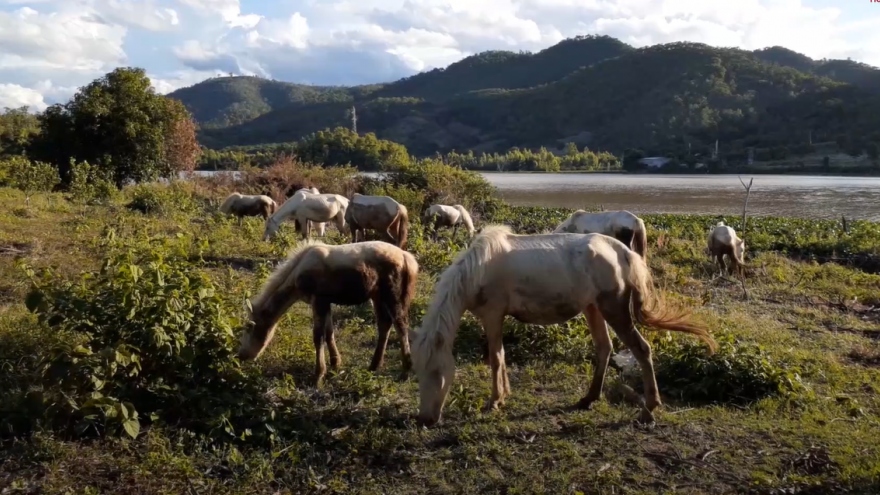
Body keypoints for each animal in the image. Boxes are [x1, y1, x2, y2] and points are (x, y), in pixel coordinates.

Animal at [410, 224, 716, 426]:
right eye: (418, 372)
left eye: (436, 373)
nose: (425, 419)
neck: (476, 270)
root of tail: (623, 252)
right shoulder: (495, 317)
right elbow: (501, 357)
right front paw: (503, 395)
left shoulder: (493, 315)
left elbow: (495, 358)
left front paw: (495, 401)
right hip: (593, 309)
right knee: (604, 348)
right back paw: (589, 398)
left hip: (614, 309)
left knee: (641, 350)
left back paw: (649, 409)